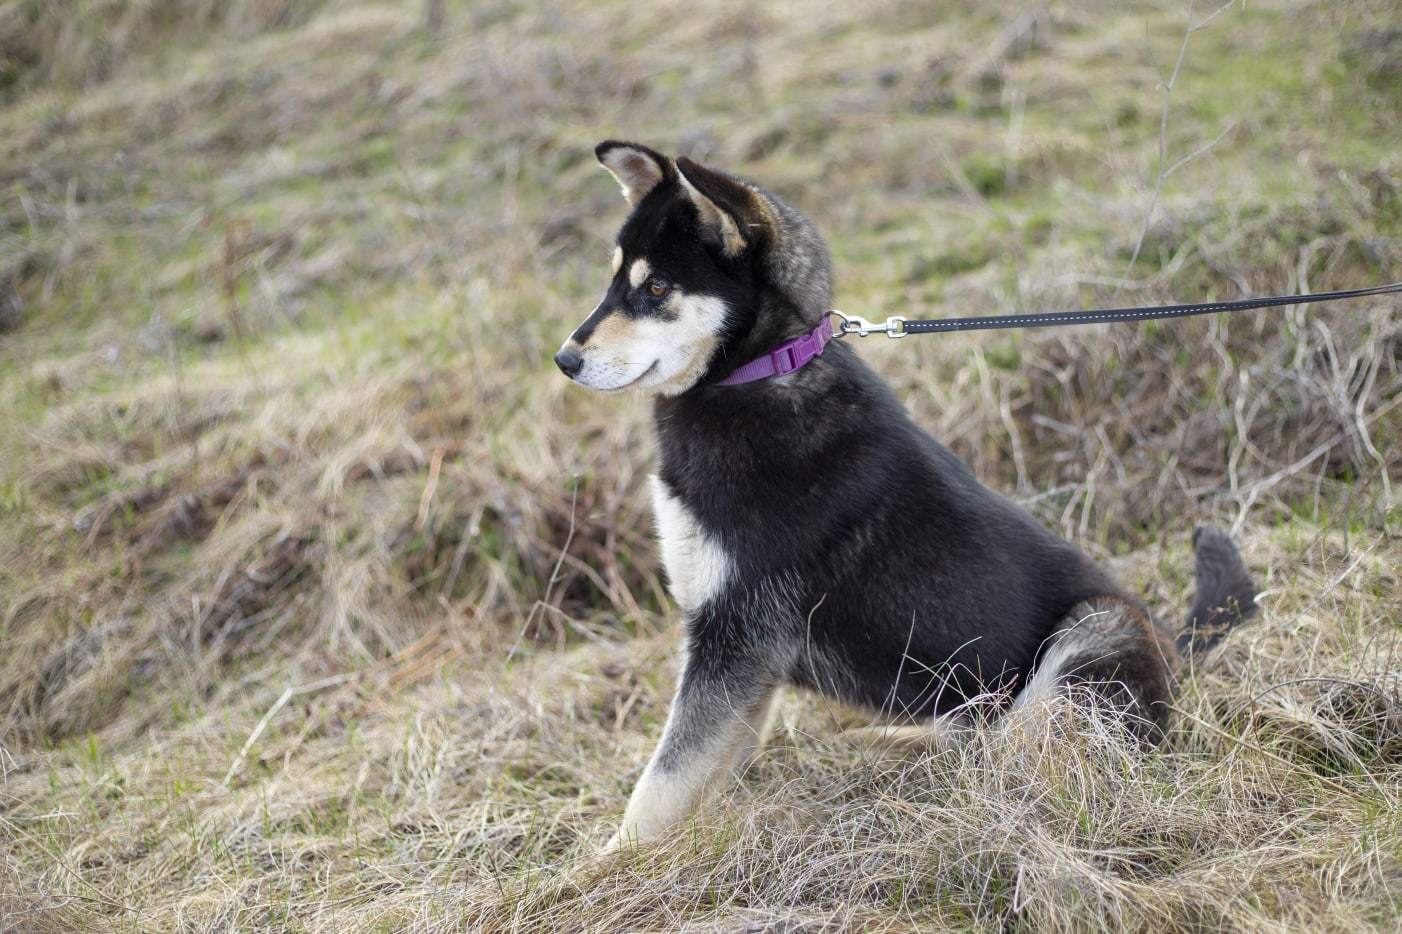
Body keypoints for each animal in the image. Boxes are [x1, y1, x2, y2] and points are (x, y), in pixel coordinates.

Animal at [549, 140, 1261, 852]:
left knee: (1012, 749)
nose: (564, 362)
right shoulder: (742, 661)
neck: (761, 373)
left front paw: (605, 866)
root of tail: (1177, 651)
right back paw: (889, 741)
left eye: (657, 289)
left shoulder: (735, 640)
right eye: (614, 280)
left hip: (1094, 632)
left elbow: (661, 784)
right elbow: (694, 776)